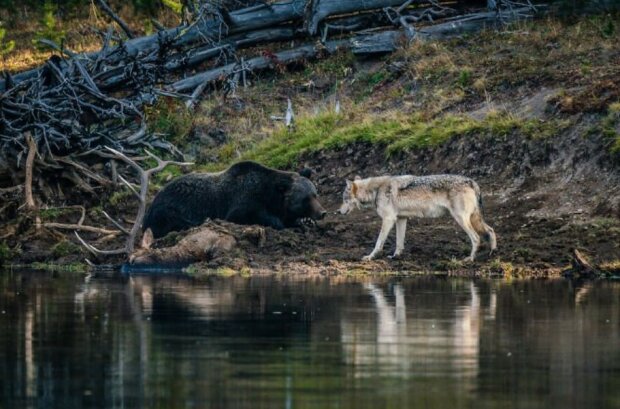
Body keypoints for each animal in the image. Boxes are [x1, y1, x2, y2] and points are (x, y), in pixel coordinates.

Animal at [140, 159, 324, 236]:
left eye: (315, 194)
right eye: (306, 199)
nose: (323, 212)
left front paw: (305, 221)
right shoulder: (242, 200)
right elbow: (246, 214)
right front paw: (277, 221)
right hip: (169, 209)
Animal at [336, 174, 496, 260]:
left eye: (344, 199)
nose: (337, 211)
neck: (376, 190)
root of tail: (471, 181)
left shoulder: (388, 219)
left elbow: (378, 242)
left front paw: (370, 257)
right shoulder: (400, 219)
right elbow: (399, 243)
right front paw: (396, 257)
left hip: (461, 219)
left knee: (476, 238)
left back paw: (470, 259)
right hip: (473, 218)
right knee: (491, 230)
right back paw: (492, 252)